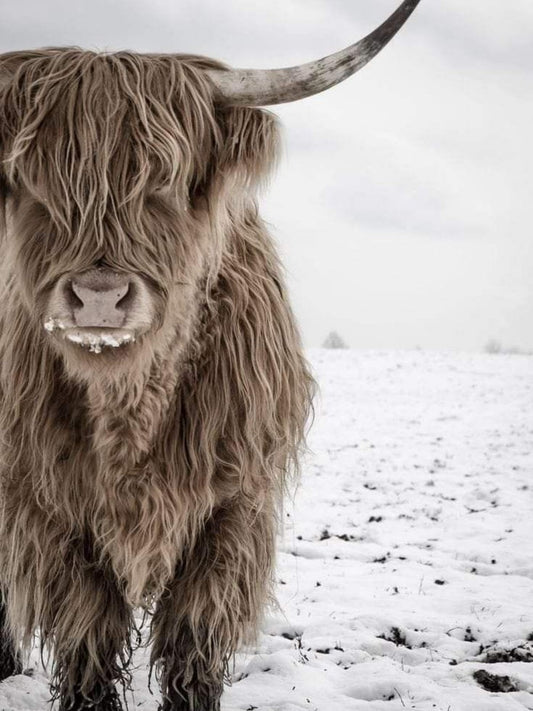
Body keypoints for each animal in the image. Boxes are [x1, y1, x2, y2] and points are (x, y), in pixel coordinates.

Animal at [0, 1, 420, 709]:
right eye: (31, 181)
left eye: (163, 183)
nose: (98, 297)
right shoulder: (47, 508)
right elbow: (87, 635)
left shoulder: (233, 507)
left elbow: (195, 635)